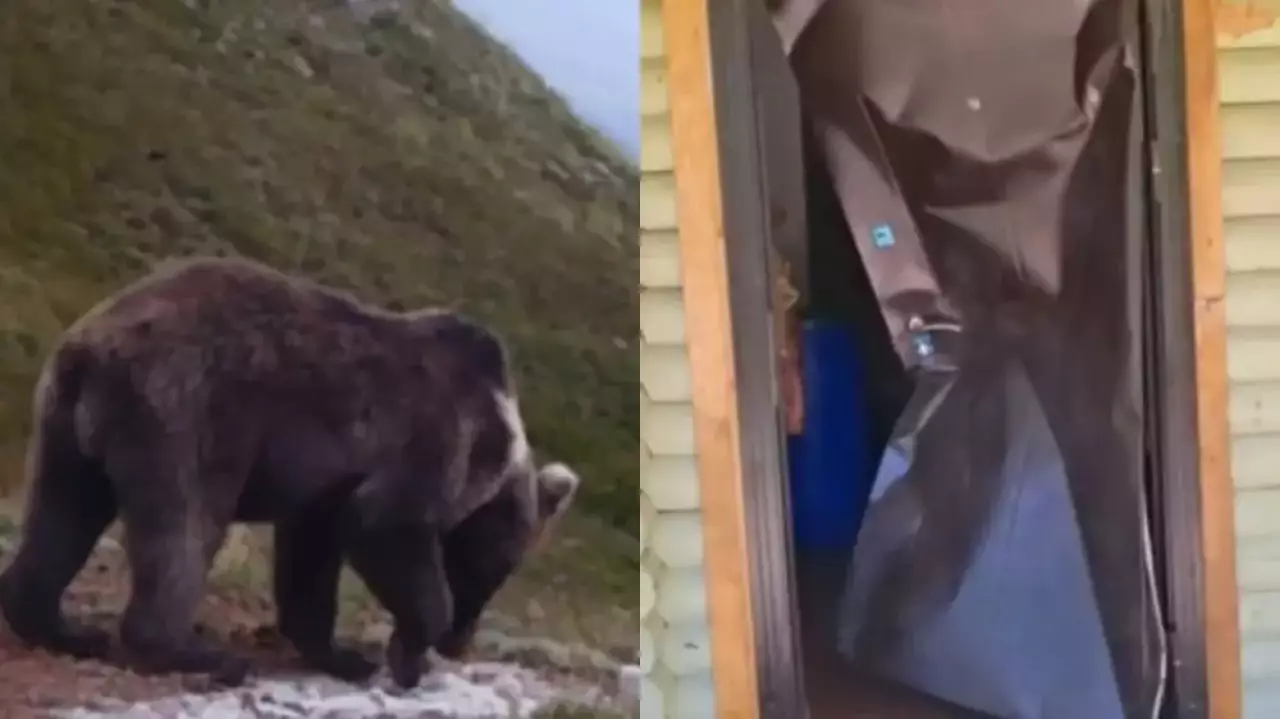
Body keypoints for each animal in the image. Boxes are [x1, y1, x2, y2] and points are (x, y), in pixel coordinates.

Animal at [0, 255, 561, 688]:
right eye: (497, 566)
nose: (460, 642)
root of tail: (95, 343)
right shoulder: (431, 441)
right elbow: (385, 525)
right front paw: (407, 656)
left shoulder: (326, 485)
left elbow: (310, 561)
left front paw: (344, 656)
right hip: (188, 413)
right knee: (185, 528)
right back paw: (200, 655)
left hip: (64, 424)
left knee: (63, 513)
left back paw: (64, 629)